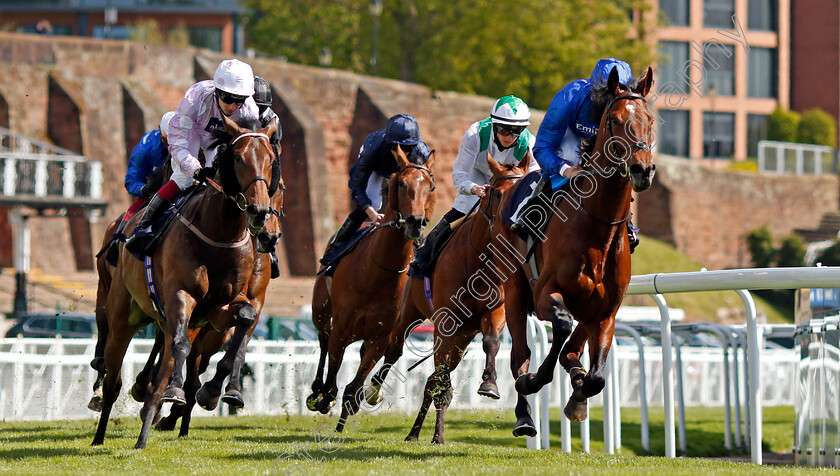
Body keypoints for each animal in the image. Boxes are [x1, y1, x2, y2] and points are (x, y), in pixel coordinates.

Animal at [91, 115, 278, 450]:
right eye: (238, 158)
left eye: (271, 160)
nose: (259, 213)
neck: (219, 233)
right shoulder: (181, 296)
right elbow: (180, 346)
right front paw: (174, 391)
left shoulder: (221, 309)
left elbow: (242, 321)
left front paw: (217, 391)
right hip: (120, 315)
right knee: (113, 376)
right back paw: (101, 430)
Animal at [310, 146, 440, 432]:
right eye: (402, 183)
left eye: (431, 186)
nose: (415, 222)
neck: (377, 274)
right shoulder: (341, 329)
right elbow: (333, 376)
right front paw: (325, 399)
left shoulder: (379, 336)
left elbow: (352, 387)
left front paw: (342, 421)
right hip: (321, 311)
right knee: (323, 340)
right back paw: (315, 392)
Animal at [372, 152, 536, 442]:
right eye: (496, 193)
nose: (512, 223)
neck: (479, 261)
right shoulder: (444, 320)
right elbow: (441, 385)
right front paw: (438, 436)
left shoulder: (495, 311)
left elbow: (492, 342)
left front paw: (489, 383)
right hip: (412, 315)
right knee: (395, 350)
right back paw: (371, 393)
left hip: (462, 338)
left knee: (432, 380)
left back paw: (415, 433)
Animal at [492, 66, 656, 424]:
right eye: (615, 120)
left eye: (650, 119)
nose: (643, 169)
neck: (599, 229)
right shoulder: (544, 294)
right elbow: (561, 327)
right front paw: (535, 380)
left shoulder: (606, 311)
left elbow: (596, 376)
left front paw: (579, 393)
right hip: (514, 289)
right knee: (520, 354)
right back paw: (524, 415)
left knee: (571, 352)